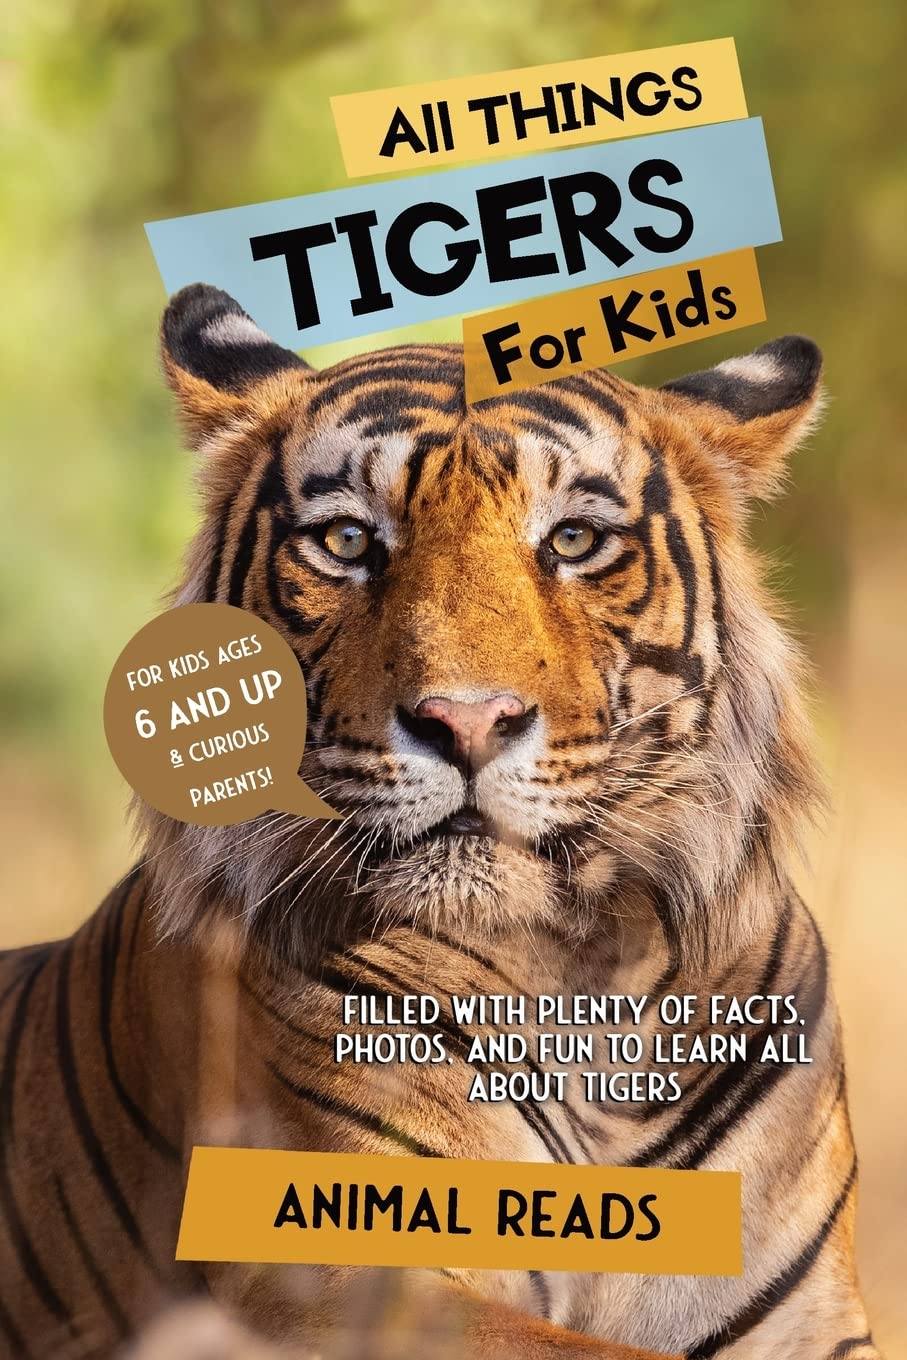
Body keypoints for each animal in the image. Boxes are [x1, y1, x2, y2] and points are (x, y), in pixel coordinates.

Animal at [0, 281, 880, 1360]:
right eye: (346, 541)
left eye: (573, 541)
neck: (588, 984)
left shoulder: (810, 1316)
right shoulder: (343, 1275)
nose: (464, 721)